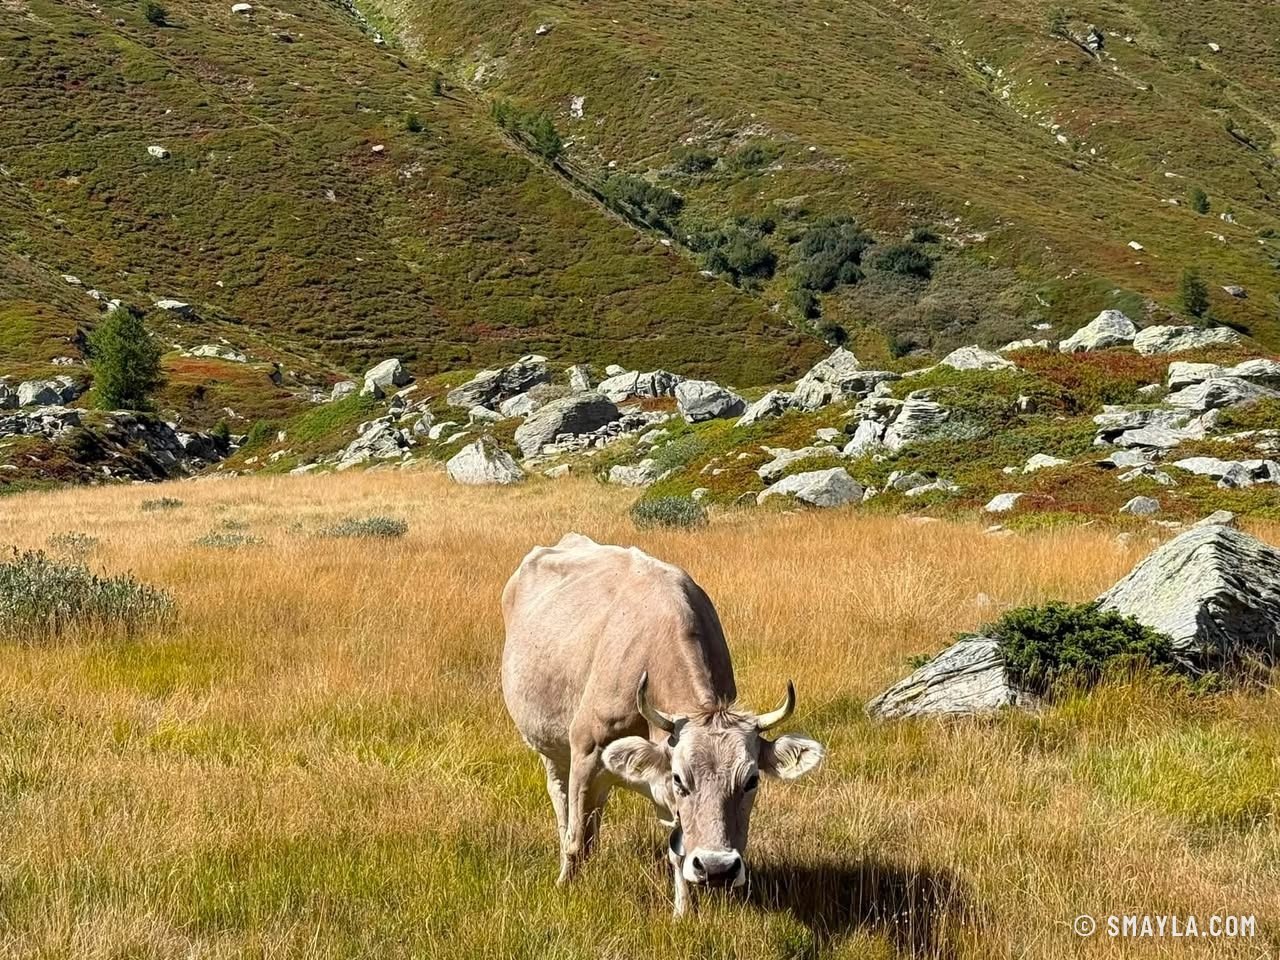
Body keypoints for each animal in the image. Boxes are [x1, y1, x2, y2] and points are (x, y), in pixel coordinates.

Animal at [501, 533, 824, 915]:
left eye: (752, 780)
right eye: (680, 778)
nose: (717, 868)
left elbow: (678, 851)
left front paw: (682, 912)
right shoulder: (587, 752)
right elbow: (577, 840)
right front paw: (565, 886)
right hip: (551, 746)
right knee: (562, 802)